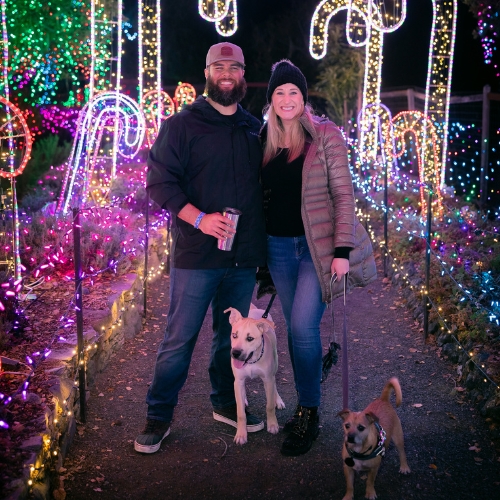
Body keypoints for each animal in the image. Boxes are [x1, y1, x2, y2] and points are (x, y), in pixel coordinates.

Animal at [224, 304, 284, 446]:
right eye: (234, 335)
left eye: (250, 338)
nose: (235, 353)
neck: (251, 361)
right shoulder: (238, 380)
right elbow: (240, 413)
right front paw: (241, 434)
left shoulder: (268, 379)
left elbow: (269, 406)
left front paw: (273, 425)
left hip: (275, 363)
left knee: (275, 382)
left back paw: (278, 399)